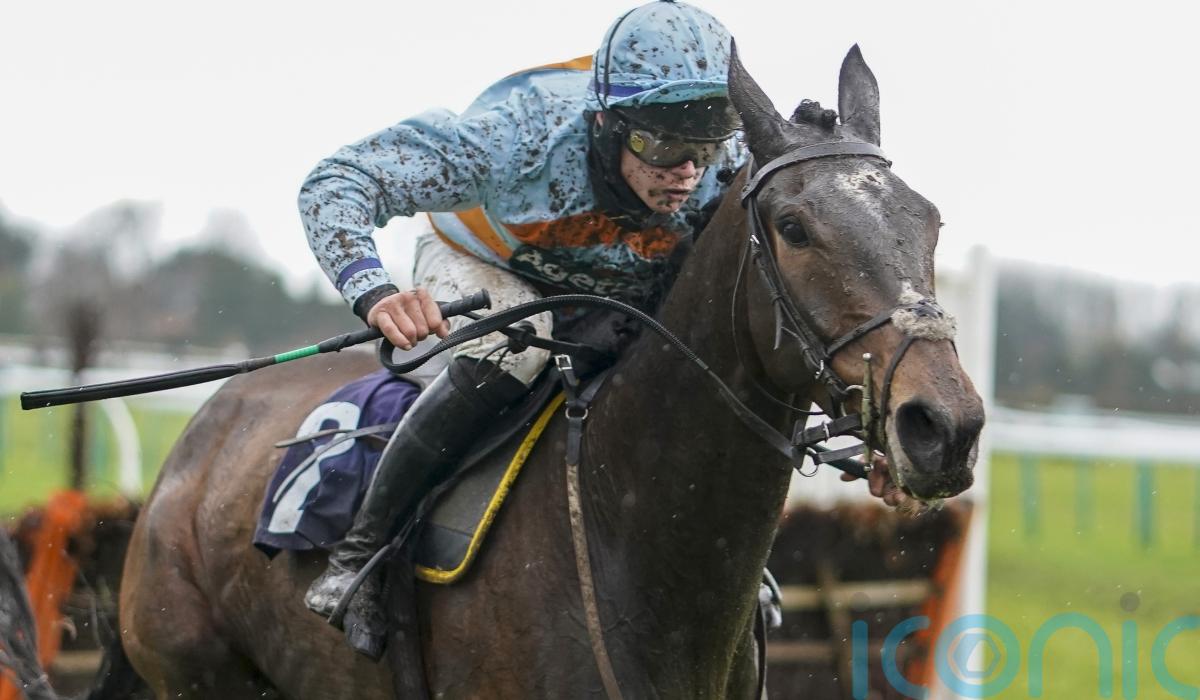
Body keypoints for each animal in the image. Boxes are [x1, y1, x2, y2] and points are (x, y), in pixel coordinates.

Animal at [9, 45, 984, 699]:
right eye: (793, 227)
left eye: (930, 220)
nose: (945, 426)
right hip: (200, 669)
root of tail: (187, 455)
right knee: (504, 346)